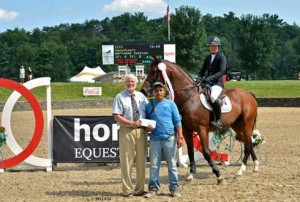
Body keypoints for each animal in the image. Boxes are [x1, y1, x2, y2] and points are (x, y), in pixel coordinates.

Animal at [142, 57, 258, 185]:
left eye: (154, 71)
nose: (143, 90)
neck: (189, 97)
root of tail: (248, 94)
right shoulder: (186, 131)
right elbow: (190, 152)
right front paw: (191, 175)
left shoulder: (202, 129)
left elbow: (206, 152)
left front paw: (218, 175)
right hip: (237, 126)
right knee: (249, 142)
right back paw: (255, 166)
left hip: (247, 124)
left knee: (248, 144)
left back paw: (240, 171)